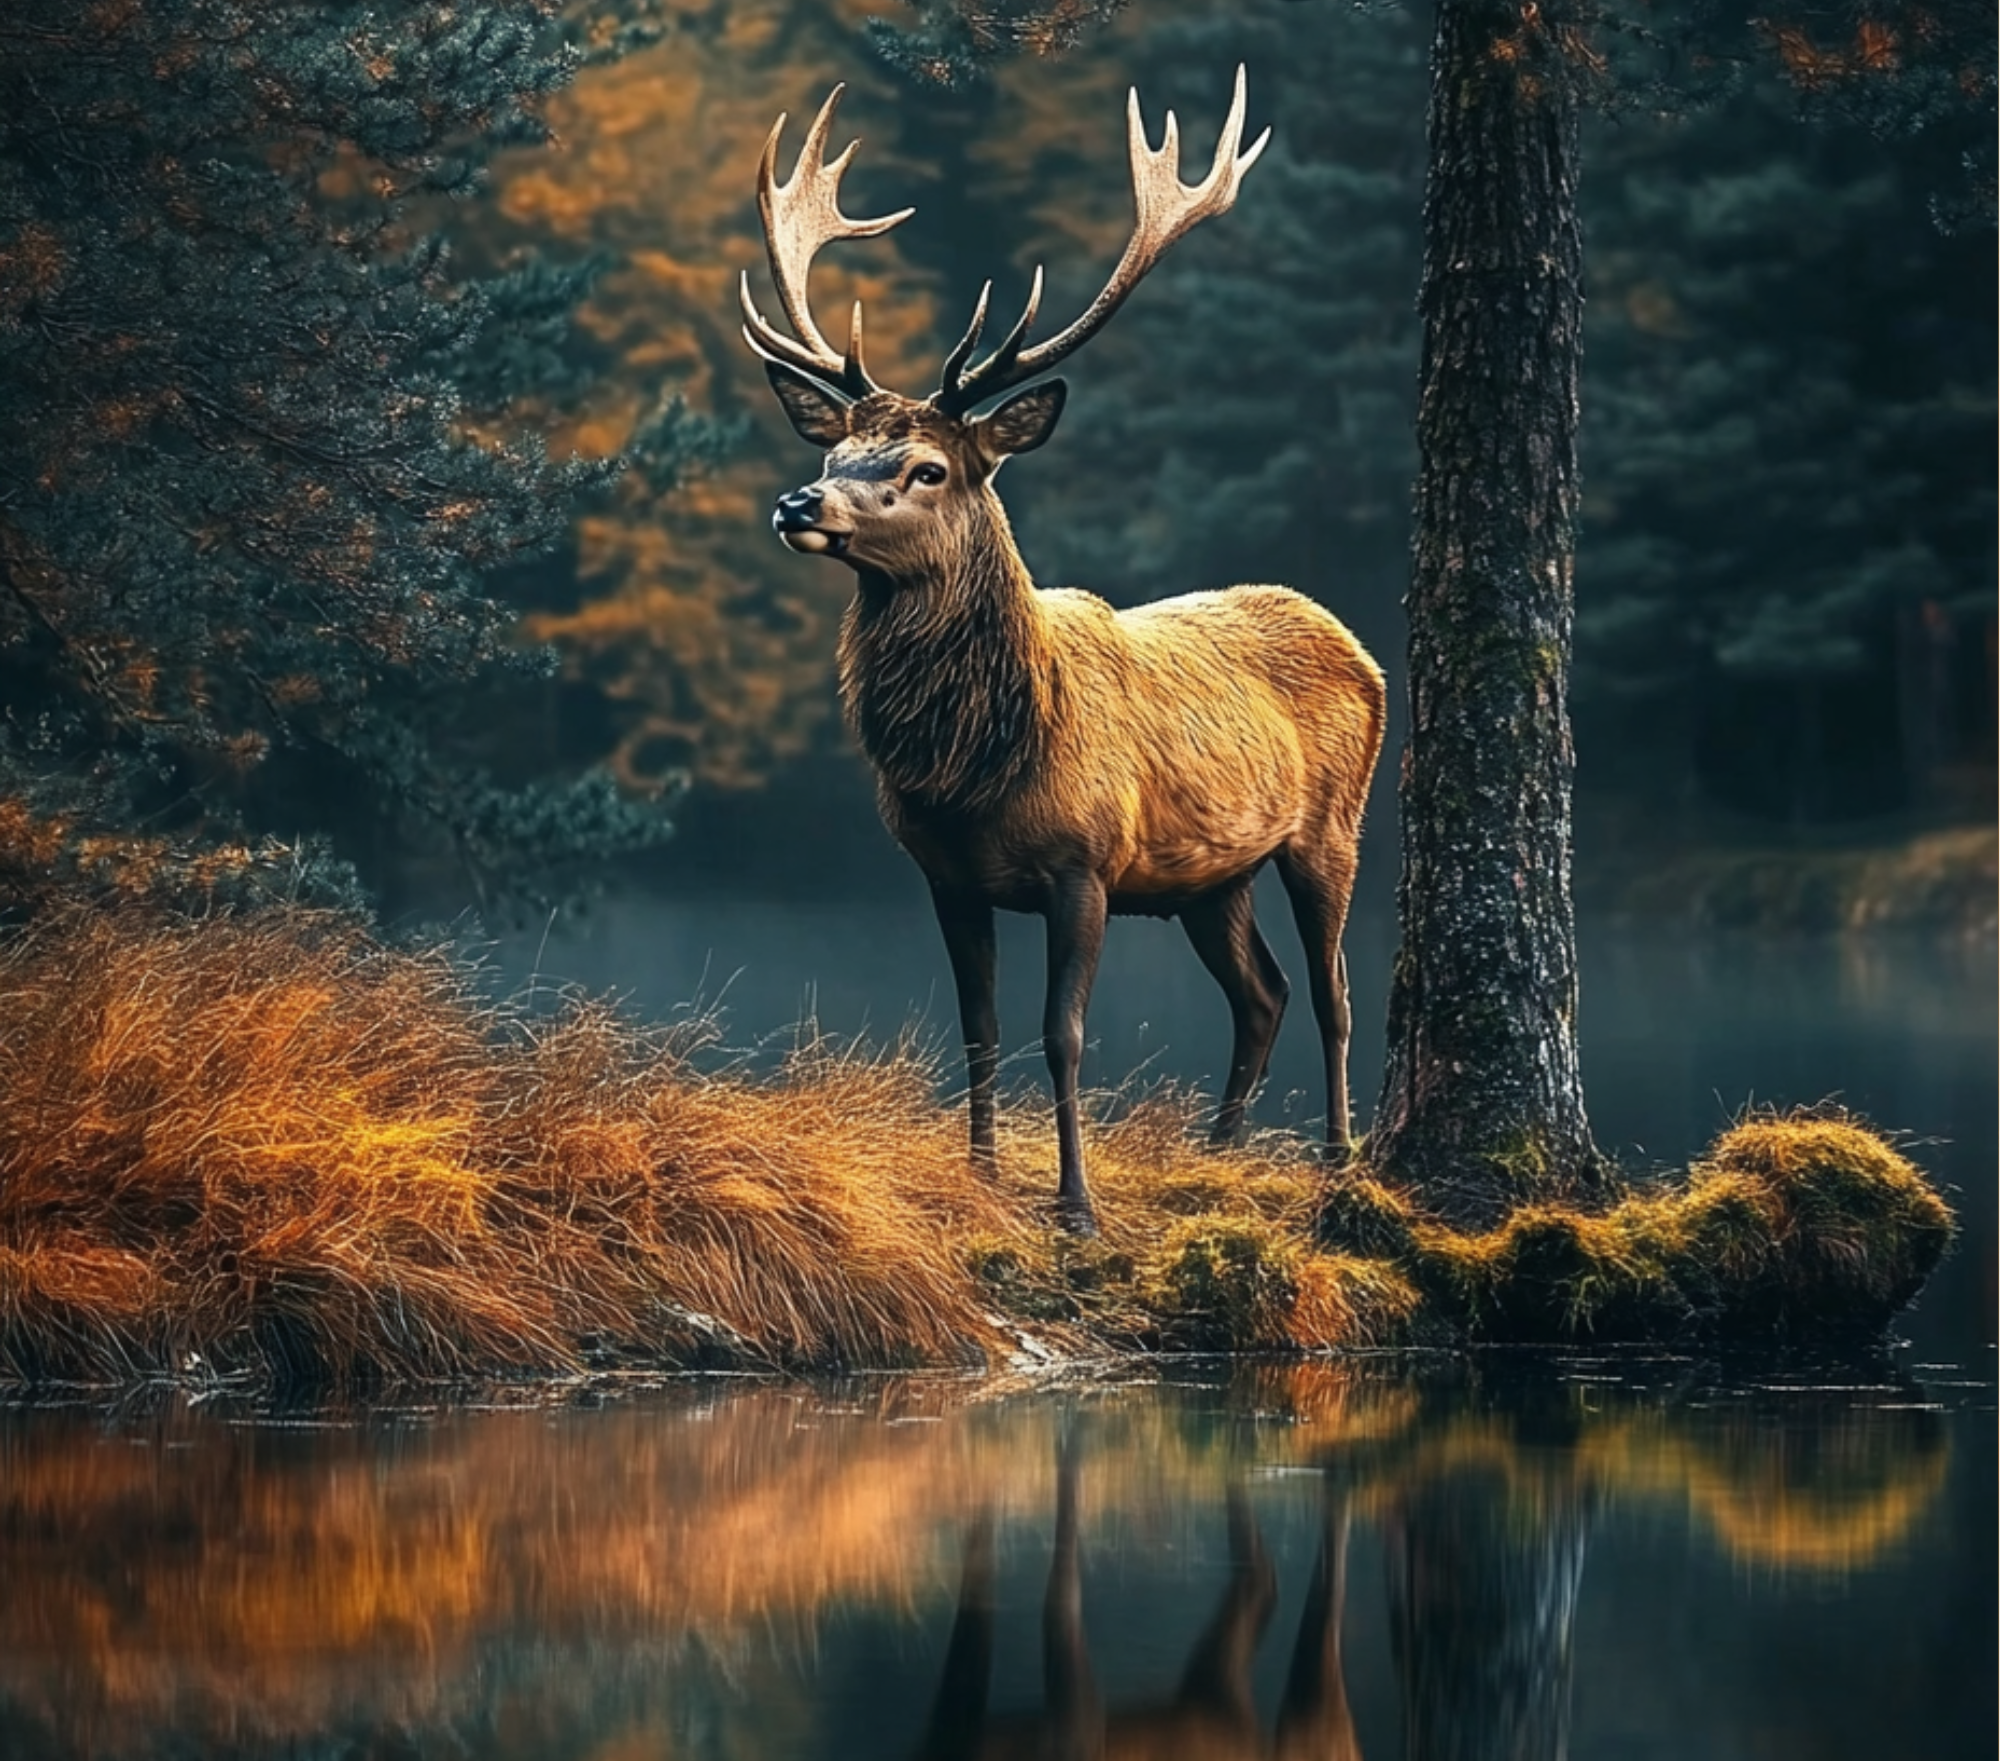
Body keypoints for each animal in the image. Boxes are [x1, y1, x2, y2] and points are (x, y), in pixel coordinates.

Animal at [741, 69, 1386, 1235]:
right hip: (1208, 876)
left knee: (1332, 990)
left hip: (1330, 825)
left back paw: (1336, 1157)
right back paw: (1215, 1156)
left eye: (925, 467)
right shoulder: (944, 874)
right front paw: (984, 1177)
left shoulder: (1084, 863)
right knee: (1259, 993)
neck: (977, 762)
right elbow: (980, 1029)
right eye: (835, 447)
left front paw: (1075, 1205)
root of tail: (1351, 639)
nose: (798, 502)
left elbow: (1064, 1034)